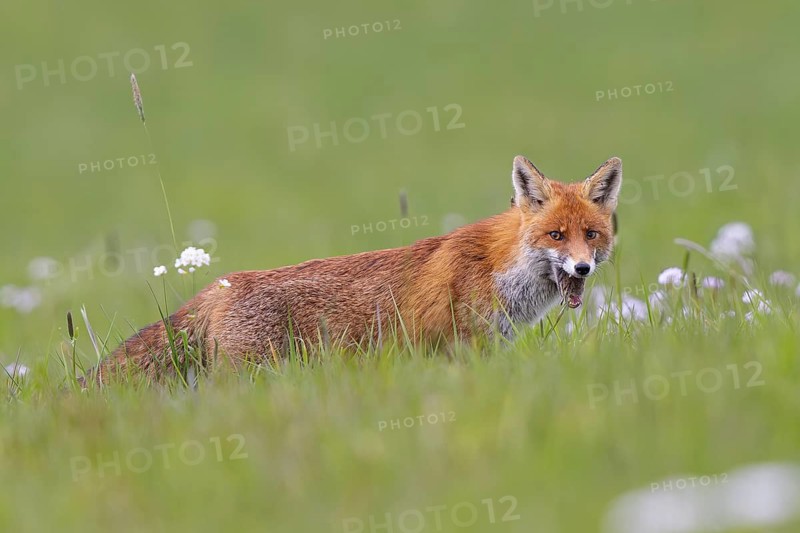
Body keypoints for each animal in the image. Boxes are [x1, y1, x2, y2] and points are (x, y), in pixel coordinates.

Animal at [87, 155, 622, 383]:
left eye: (591, 236)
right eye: (556, 236)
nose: (581, 268)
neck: (499, 267)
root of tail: (223, 285)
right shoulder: (464, 344)